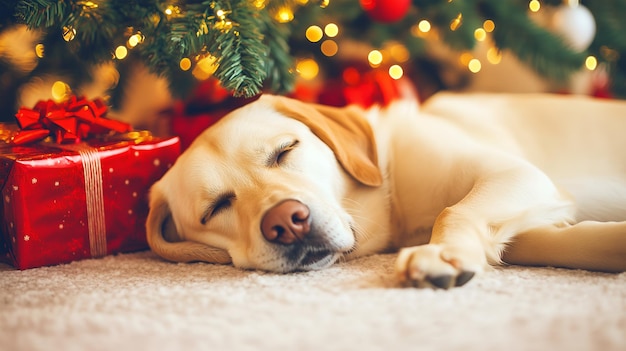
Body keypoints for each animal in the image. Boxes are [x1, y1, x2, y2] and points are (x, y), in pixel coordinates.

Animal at [144, 93, 624, 288]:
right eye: (215, 208)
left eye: (284, 151)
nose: (287, 223)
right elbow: (563, 242)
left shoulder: (515, 172)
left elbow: (454, 210)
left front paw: (441, 253)